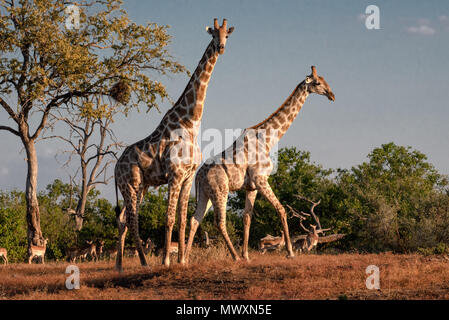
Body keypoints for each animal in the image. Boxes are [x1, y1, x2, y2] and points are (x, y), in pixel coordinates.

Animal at [113, 19, 234, 270]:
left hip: (140, 187)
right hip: (130, 184)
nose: (221, 48)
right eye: (213, 34)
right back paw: (143, 263)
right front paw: (167, 260)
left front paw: (182, 260)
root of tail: (115, 166)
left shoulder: (187, 177)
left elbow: (182, 219)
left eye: (227, 35)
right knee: (132, 220)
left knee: (122, 220)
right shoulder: (175, 174)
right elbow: (168, 218)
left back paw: (119, 266)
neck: (190, 122)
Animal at [184, 65, 334, 262]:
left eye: (324, 80)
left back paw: (185, 259)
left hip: (205, 194)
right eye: (317, 83)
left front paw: (247, 255)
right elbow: (281, 210)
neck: (269, 138)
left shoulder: (252, 186)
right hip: (220, 190)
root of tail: (198, 177)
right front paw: (290, 252)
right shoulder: (261, 179)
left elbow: (247, 218)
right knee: (219, 222)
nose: (331, 95)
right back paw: (234, 256)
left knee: (195, 220)